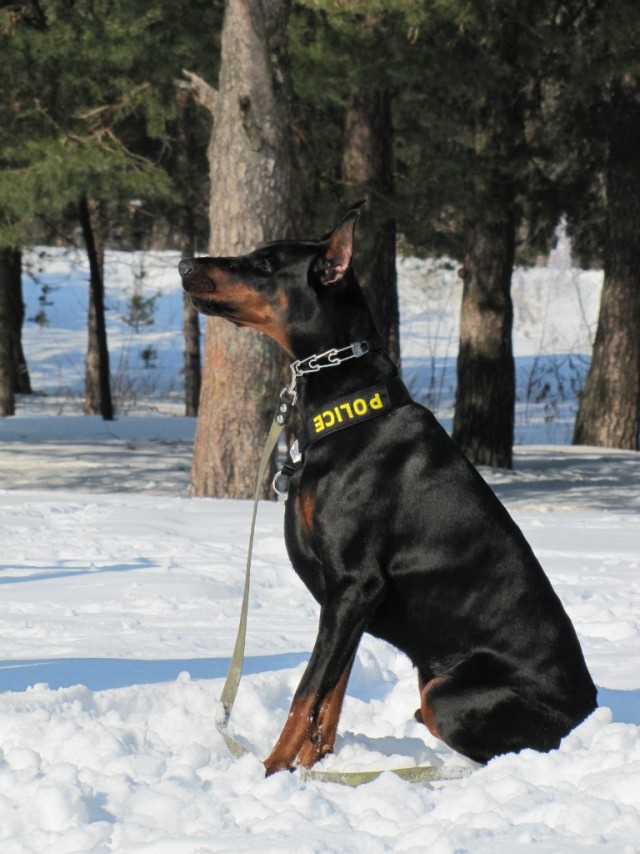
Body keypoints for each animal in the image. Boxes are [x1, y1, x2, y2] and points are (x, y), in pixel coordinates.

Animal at [178, 202, 596, 776]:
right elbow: (329, 698)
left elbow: (306, 693)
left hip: (444, 692)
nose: (183, 265)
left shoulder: (355, 584)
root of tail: (588, 714)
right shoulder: (349, 602)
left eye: (263, 263)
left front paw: (269, 773)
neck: (344, 412)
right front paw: (311, 768)